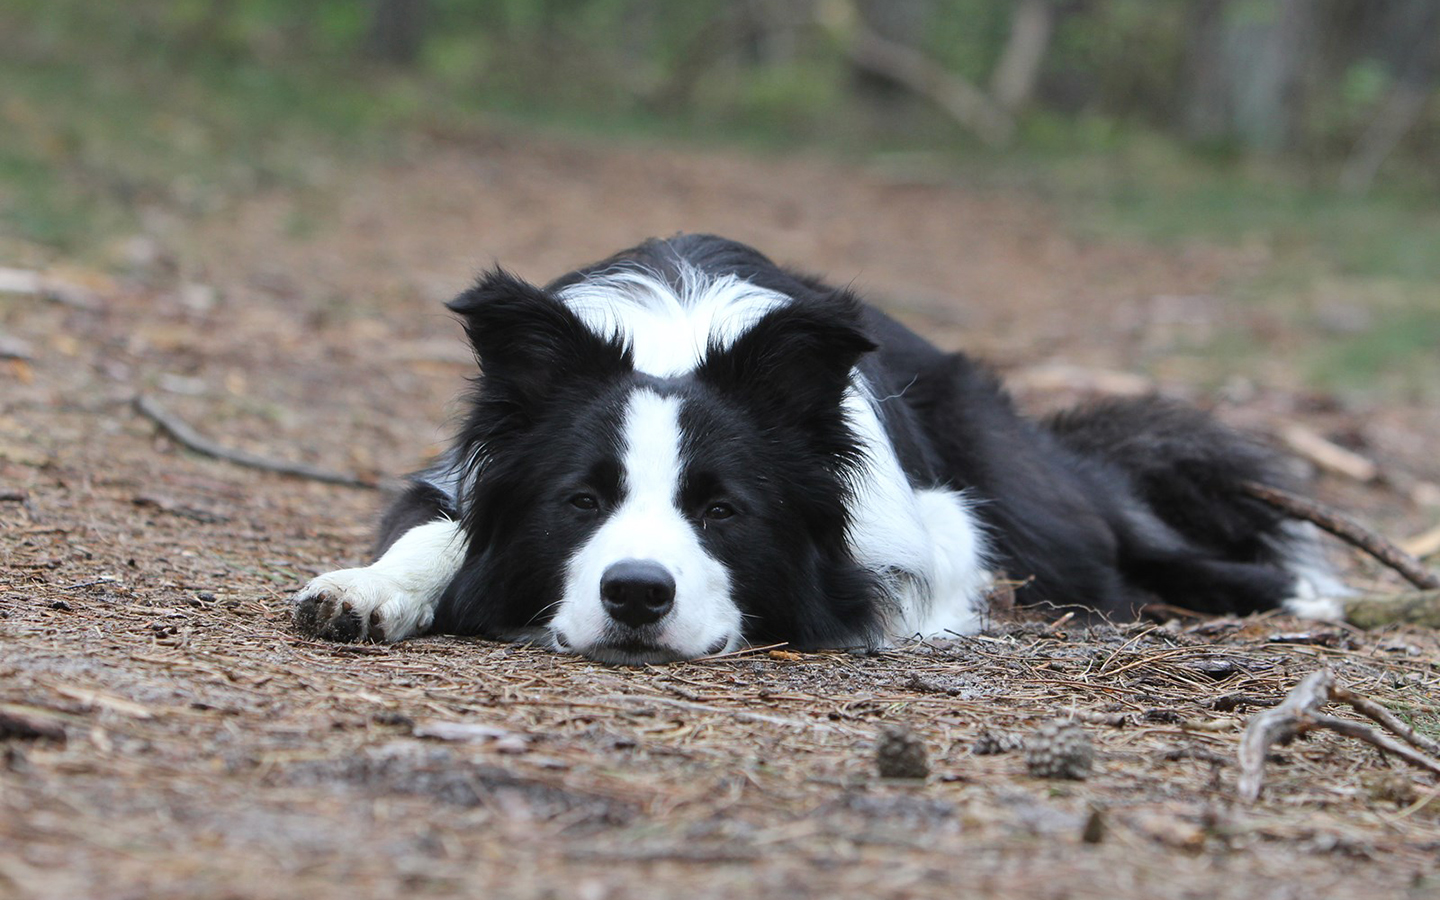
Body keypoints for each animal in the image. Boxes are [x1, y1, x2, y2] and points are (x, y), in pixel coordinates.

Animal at [289, 234, 1336, 662]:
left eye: (722, 511)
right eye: (580, 502)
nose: (636, 595)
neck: (677, 340)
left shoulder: (938, 526)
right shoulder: (455, 479)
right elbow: (441, 532)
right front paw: (369, 590)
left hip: (1032, 503)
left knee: (1130, 544)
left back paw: (1310, 595)